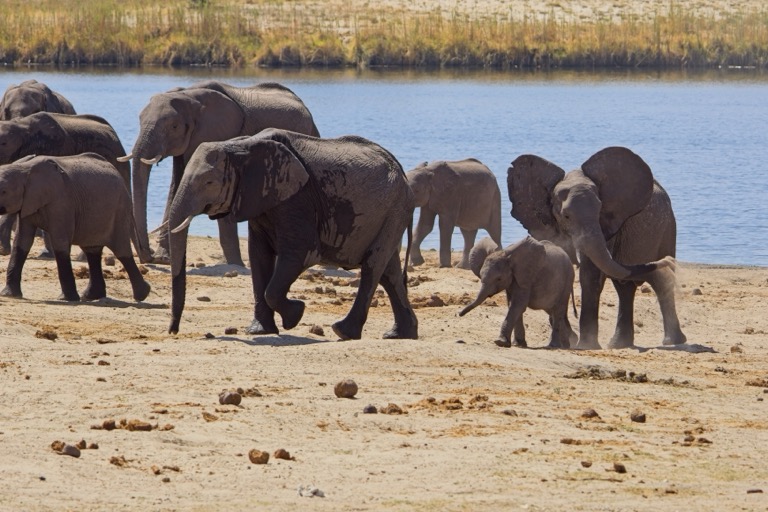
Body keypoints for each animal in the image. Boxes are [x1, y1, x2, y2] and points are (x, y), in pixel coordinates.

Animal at [0, 153, 150, 302]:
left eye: (3, 191)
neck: (23, 169)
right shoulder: (27, 203)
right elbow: (22, 241)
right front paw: (9, 295)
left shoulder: (62, 201)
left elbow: (60, 243)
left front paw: (66, 299)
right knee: (92, 251)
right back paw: (90, 296)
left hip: (120, 210)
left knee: (121, 251)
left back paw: (142, 294)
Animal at [124, 80, 321, 266]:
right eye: (139, 120)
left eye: (174, 126)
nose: (149, 256)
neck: (188, 94)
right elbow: (177, 185)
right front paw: (164, 258)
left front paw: (235, 265)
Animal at [166, 128, 418, 342]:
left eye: (208, 182)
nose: (173, 331)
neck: (240, 145)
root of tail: (403, 173)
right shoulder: (260, 198)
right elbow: (259, 256)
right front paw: (260, 331)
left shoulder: (297, 196)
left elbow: (302, 253)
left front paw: (295, 315)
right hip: (391, 214)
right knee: (388, 272)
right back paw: (399, 334)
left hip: (394, 209)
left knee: (372, 267)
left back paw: (343, 332)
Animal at [507, 146, 686, 350]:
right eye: (566, 216)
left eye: (600, 210)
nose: (667, 261)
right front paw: (571, 340)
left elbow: (590, 273)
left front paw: (584, 345)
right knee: (626, 285)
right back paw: (619, 345)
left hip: (666, 229)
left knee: (656, 279)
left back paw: (673, 341)